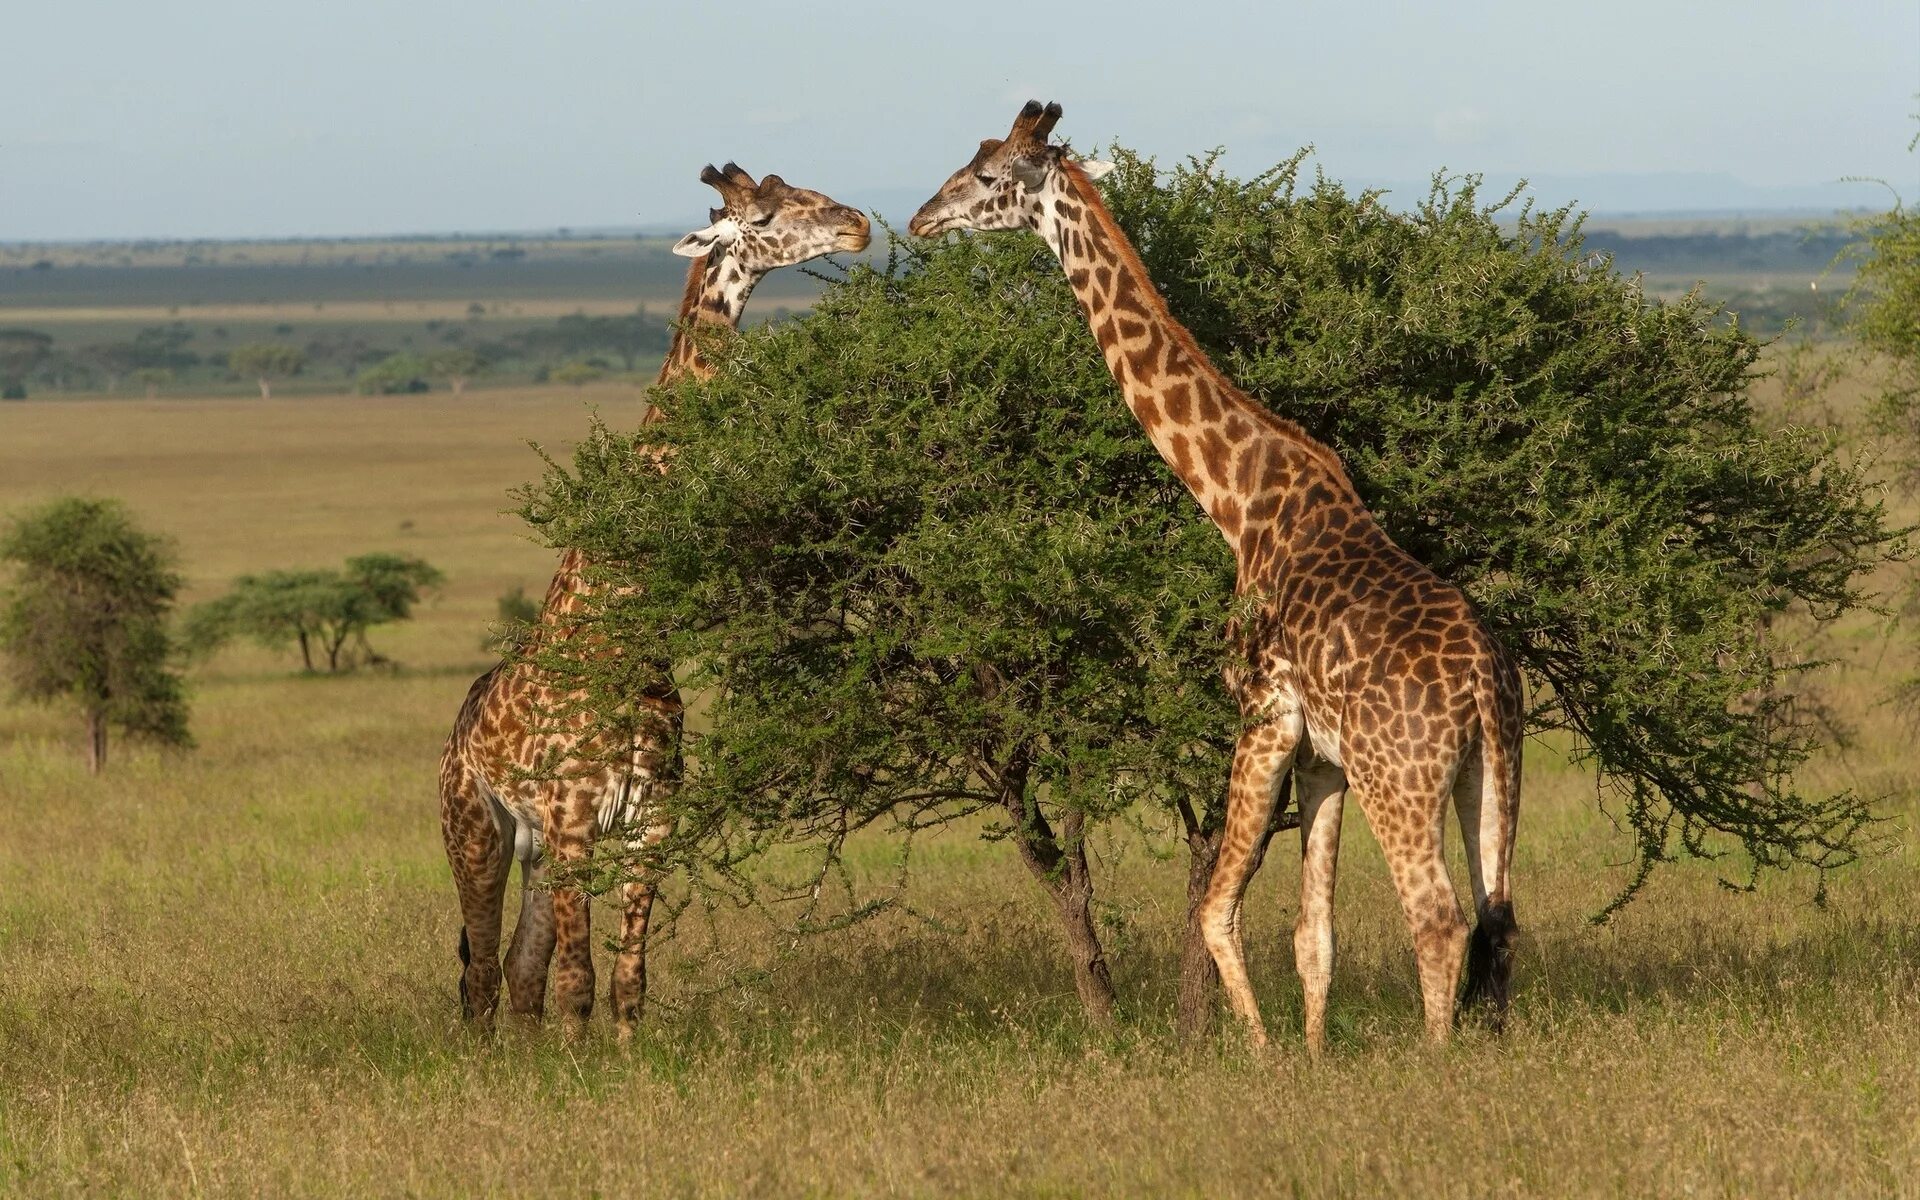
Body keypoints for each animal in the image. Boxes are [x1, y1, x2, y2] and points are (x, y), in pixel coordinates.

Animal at [439, 161, 867, 1036]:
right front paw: (583, 1066)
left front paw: (626, 1059)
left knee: (517, 973)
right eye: (765, 214)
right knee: (482, 979)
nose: (860, 225)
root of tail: (453, 733)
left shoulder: (649, 820)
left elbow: (627, 978)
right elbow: (579, 980)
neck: (628, 628)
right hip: (475, 830)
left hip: (533, 848)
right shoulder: (574, 822)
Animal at [906, 102, 1520, 1052]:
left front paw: (1263, 1055)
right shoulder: (1321, 756)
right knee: (1499, 917)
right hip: (1490, 772)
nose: (920, 219)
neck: (1237, 502)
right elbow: (1313, 933)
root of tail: (1484, 681)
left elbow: (1214, 909)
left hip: (1402, 777)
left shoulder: (1261, 715)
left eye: (985, 177)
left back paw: (1435, 1062)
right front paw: (1311, 1059)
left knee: (1439, 917)